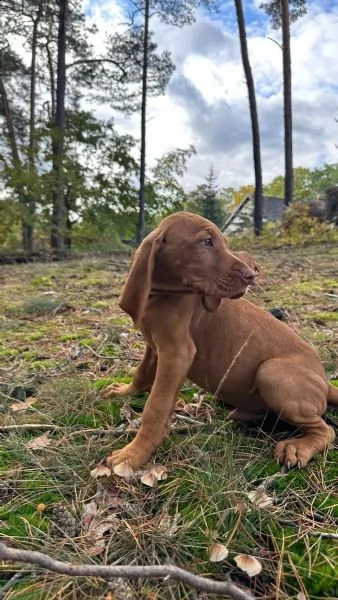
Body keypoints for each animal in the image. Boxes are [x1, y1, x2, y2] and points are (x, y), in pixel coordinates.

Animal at [103, 213, 338, 472]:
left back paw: (297, 447)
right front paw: (123, 391)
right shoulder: (154, 346)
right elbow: (142, 373)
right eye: (206, 242)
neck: (162, 294)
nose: (251, 275)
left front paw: (134, 453)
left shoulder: (177, 353)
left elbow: (156, 407)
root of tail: (326, 383)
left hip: (271, 372)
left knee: (326, 430)